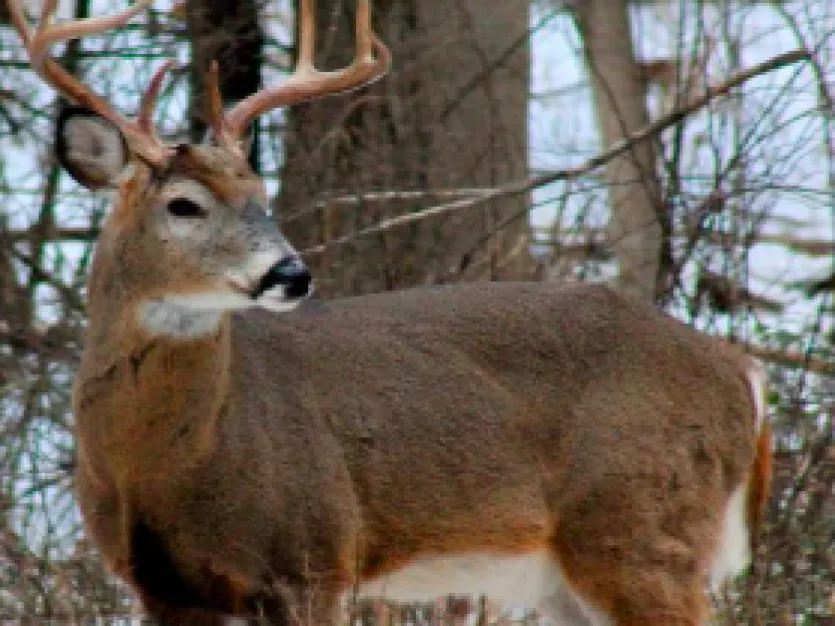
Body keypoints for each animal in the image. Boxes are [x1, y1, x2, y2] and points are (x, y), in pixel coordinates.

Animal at [8, 1, 772, 624]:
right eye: (183, 205)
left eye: (260, 192)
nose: (290, 273)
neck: (167, 466)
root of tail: (740, 372)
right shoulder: (165, 589)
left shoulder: (314, 557)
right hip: (572, 573)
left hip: (642, 527)